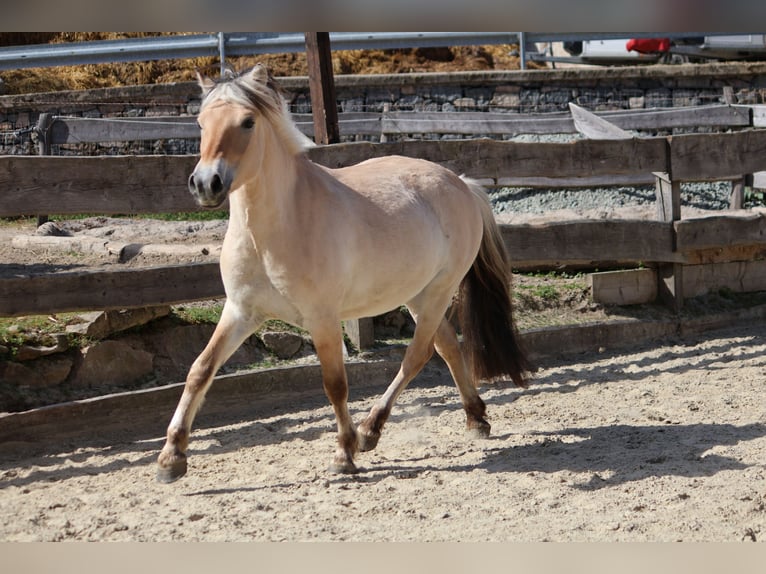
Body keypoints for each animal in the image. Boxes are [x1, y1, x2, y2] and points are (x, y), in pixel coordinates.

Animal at [156, 64, 532, 482]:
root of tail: (462, 184)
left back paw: (370, 429)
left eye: (248, 122)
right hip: (418, 296)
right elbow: (200, 370)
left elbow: (335, 384)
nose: (206, 184)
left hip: (439, 291)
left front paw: (344, 453)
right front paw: (171, 457)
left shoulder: (322, 318)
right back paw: (474, 418)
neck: (274, 230)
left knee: (417, 355)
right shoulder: (241, 311)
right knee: (447, 347)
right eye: (201, 123)